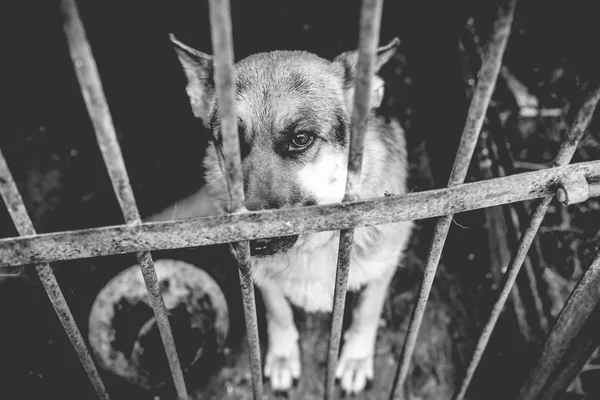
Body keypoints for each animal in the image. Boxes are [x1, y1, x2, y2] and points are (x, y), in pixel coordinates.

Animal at [159, 33, 412, 394]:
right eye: (230, 144)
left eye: (300, 139)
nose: (251, 240)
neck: (312, 245)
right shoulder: (259, 277)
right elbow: (278, 312)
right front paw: (282, 355)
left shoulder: (384, 266)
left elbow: (368, 311)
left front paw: (356, 357)